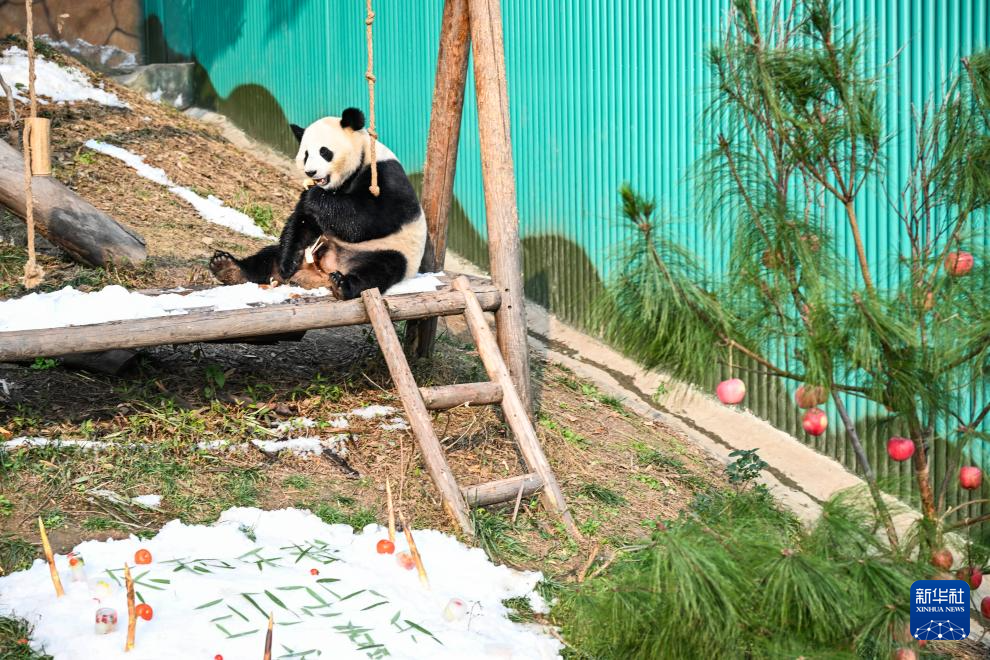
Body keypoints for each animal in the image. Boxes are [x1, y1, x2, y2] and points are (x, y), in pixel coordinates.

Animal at [209, 109, 426, 302]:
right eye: (305, 154)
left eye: (324, 152)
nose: (311, 172)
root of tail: (323, 272)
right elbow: (303, 221)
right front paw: (287, 264)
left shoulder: (385, 177)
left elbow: (368, 219)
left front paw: (313, 194)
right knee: (268, 256)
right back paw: (228, 268)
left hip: (389, 251)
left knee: (378, 270)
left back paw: (343, 285)